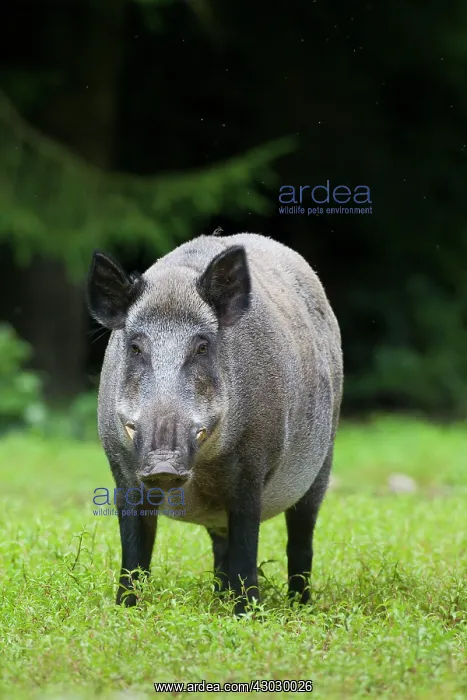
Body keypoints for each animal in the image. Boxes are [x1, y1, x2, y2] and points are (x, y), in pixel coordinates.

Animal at [86, 232, 343, 614]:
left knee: (300, 541)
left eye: (202, 346)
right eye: (135, 348)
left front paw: (247, 615)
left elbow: (246, 552)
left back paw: (299, 606)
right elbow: (134, 555)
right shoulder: (122, 470)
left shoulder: (251, 468)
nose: (163, 464)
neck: (201, 472)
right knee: (221, 547)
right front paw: (125, 610)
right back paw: (219, 597)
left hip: (323, 462)